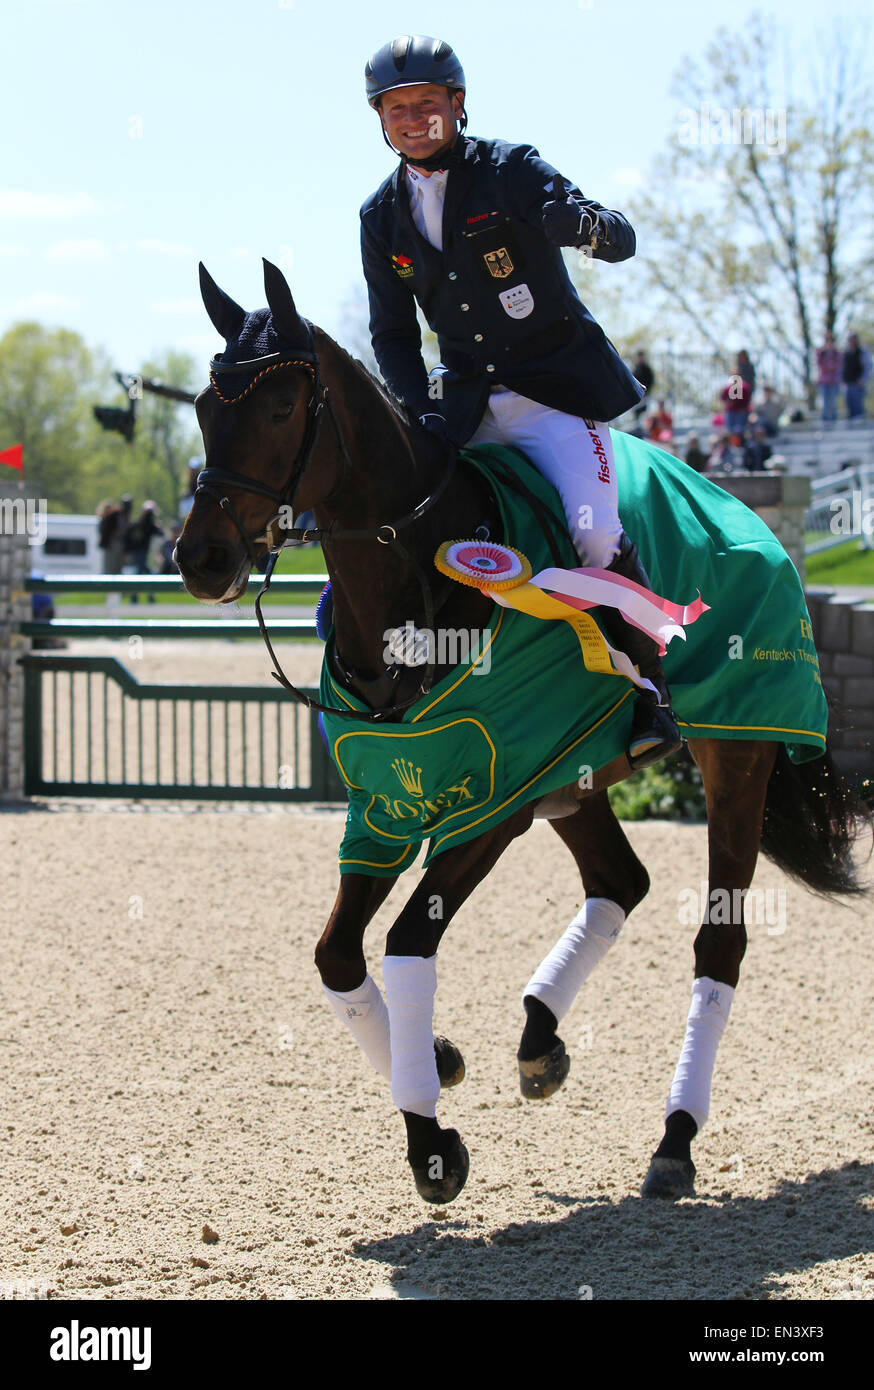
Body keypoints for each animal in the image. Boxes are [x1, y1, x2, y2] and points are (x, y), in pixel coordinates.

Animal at [175, 261, 867, 1206]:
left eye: (281, 408)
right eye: (204, 407)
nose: (199, 559)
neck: (417, 582)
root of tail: (743, 508)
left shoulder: (489, 808)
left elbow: (406, 944)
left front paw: (430, 1140)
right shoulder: (384, 809)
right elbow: (337, 955)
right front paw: (432, 1059)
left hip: (735, 754)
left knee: (717, 941)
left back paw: (676, 1140)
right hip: (573, 772)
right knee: (622, 882)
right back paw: (540, 1038)